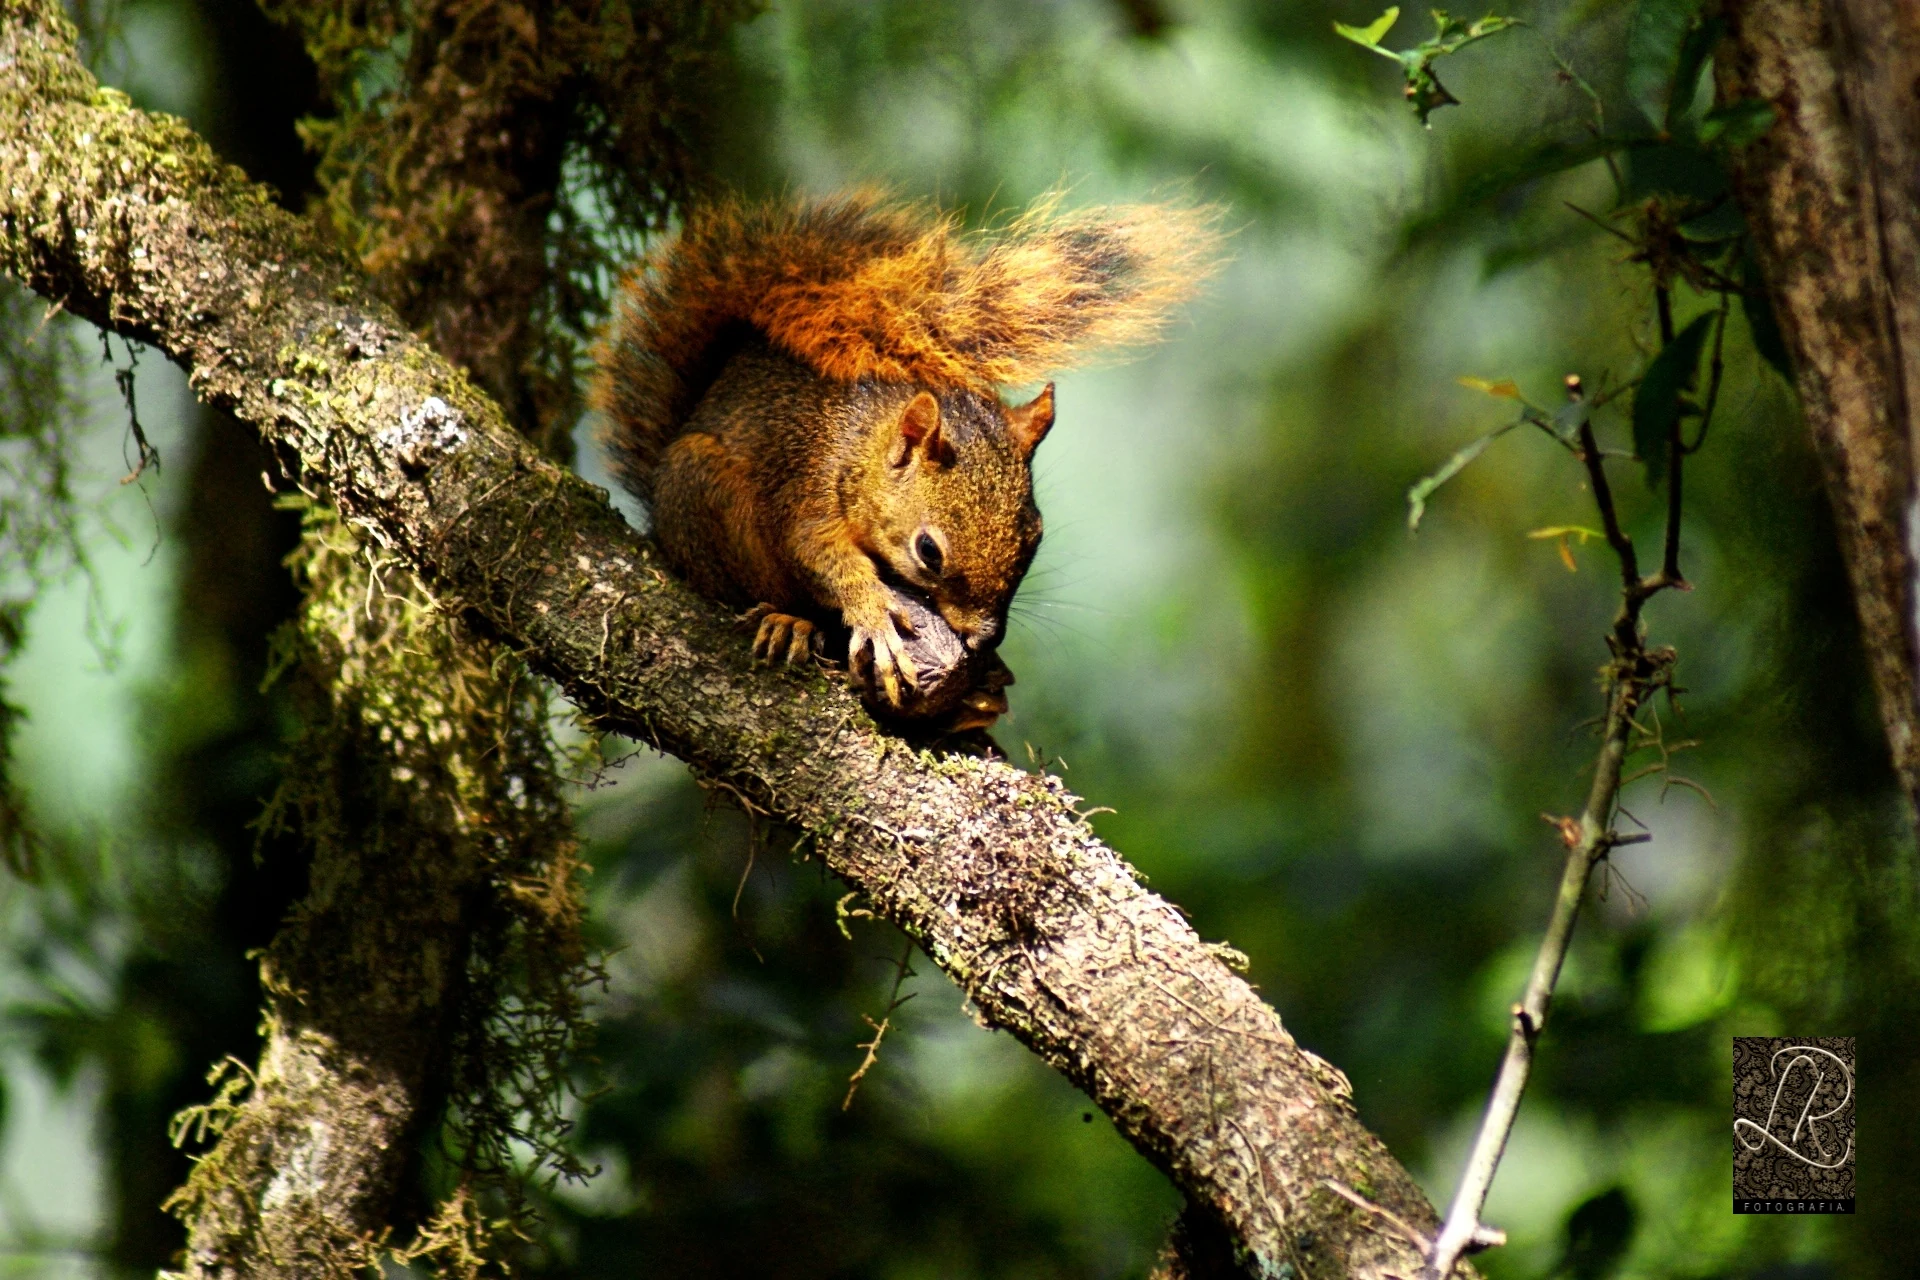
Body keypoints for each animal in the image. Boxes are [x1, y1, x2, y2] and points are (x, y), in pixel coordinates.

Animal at [593, 191, 1217, 720]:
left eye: (1035, 537)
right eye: (928, 552)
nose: (984, 638)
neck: (861, 449)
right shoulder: (806, 480)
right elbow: (819, 554)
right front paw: (872, 610)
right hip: (699, 488)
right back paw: (790, 621)